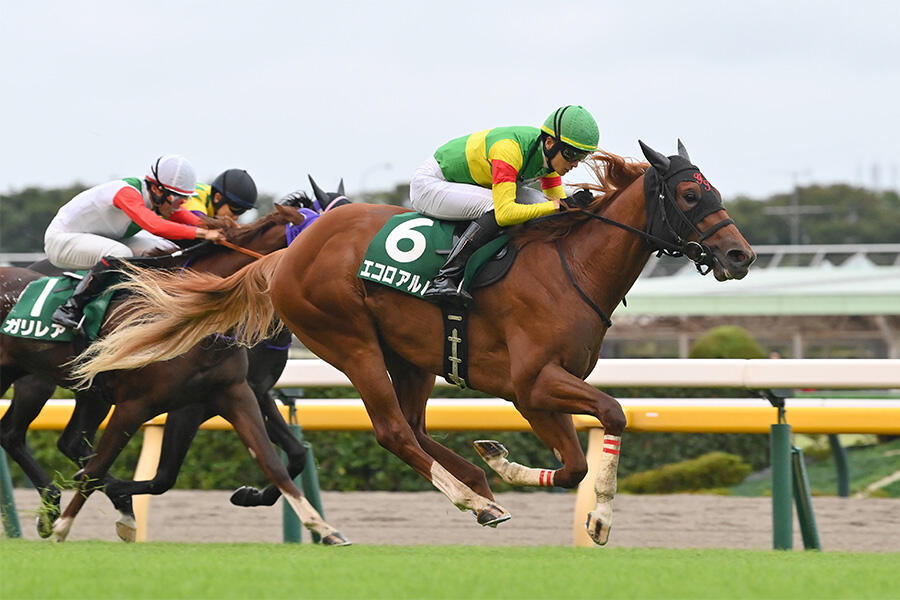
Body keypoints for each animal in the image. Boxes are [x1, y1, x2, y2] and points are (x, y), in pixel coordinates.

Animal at [0, 203, 349, 544]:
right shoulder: (138, 405)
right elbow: (106, 468)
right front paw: (64, 526)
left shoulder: (235, 393)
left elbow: (272, 460)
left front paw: (324, 528)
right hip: (34, 382)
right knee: (17, 435)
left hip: (88, 392)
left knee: (59, 440)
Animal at [64, 141, 755, 545]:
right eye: (689, 193)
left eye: (716, 190)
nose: (739, 255)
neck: (572, 267)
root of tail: (290, 255)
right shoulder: (534, 382)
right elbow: (608, 419)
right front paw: (598, 516)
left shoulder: (536, 392)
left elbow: (576, 462)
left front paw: (502, 463)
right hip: (350, 341)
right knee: (395, 430)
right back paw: (471, 498)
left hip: (412, 355)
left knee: (416, 428)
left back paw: (476, 487)